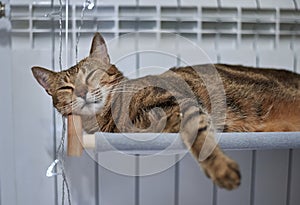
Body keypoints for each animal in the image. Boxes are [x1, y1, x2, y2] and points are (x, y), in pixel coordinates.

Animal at [31, 32, 300, 191]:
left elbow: (198, 135)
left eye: (92, 74)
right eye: (66, 87)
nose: (82, 92)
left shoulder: (182, 104)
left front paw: (220, 168)